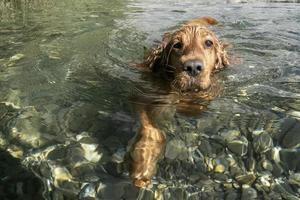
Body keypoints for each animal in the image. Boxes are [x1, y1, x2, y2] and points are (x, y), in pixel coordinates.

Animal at [129, 16, 230, 188]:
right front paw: (144, 160)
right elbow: (150, 127)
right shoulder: (140, 96)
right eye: (177, 45)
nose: (193, 67)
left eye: (208, 43)